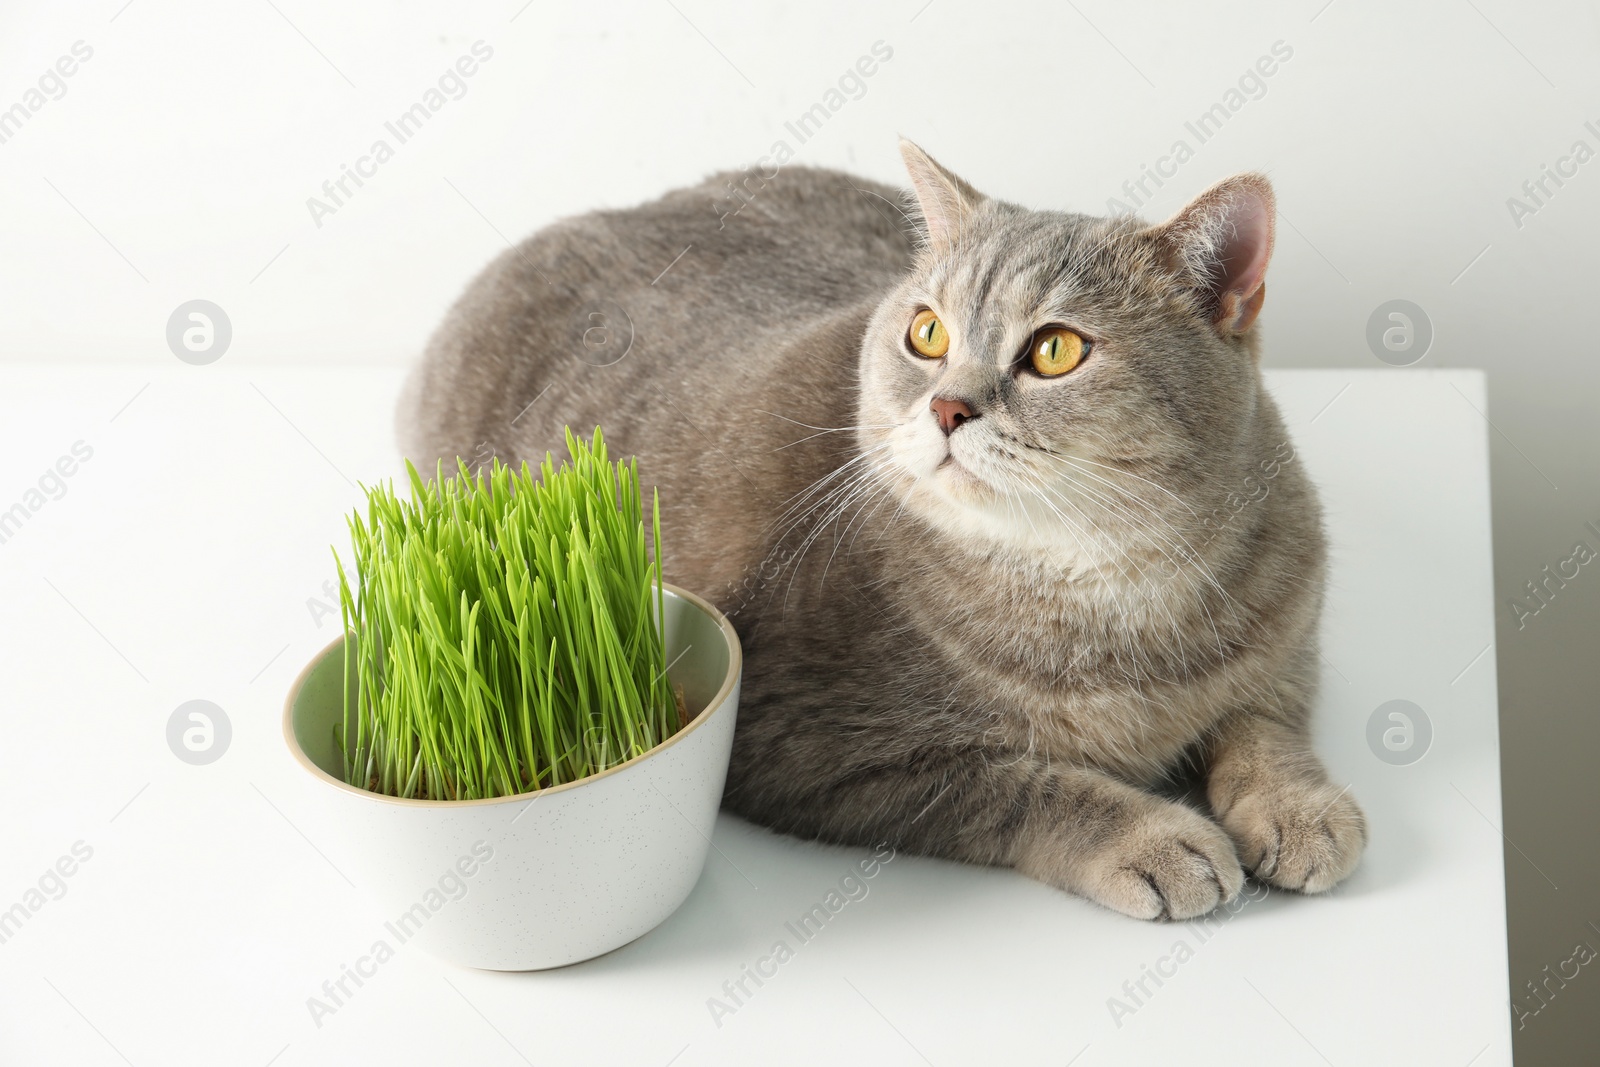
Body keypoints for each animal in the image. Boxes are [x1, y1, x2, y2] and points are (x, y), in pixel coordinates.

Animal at [400, 141, 1363, 921]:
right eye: (927, 333)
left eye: (1055, 350)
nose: (947, 406)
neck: (1109, 587)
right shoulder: (810, 745)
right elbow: (1024, 785)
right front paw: (1154, 838)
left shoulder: (1291, 633)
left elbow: (1265, 724)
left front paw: (1300, 807)